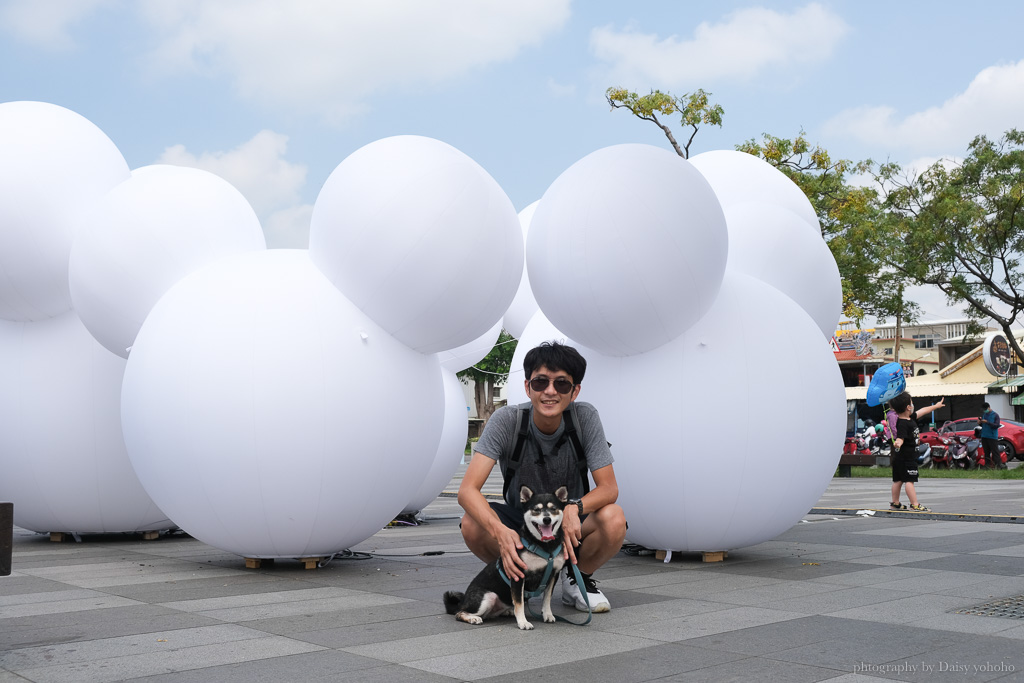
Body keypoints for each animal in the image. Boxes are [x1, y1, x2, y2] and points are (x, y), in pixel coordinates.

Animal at [442, 485, 569, 630]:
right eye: (536, 510)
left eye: (553, 509)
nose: (546, 519)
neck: (544, 546)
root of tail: (463, 601)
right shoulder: (518, 575)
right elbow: (519, 603)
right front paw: (523, 622)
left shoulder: (553, 574)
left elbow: (547, 599)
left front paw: (547, 615)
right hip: (488, 597)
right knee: (460, 613)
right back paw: (473, 618)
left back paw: (507, 611)